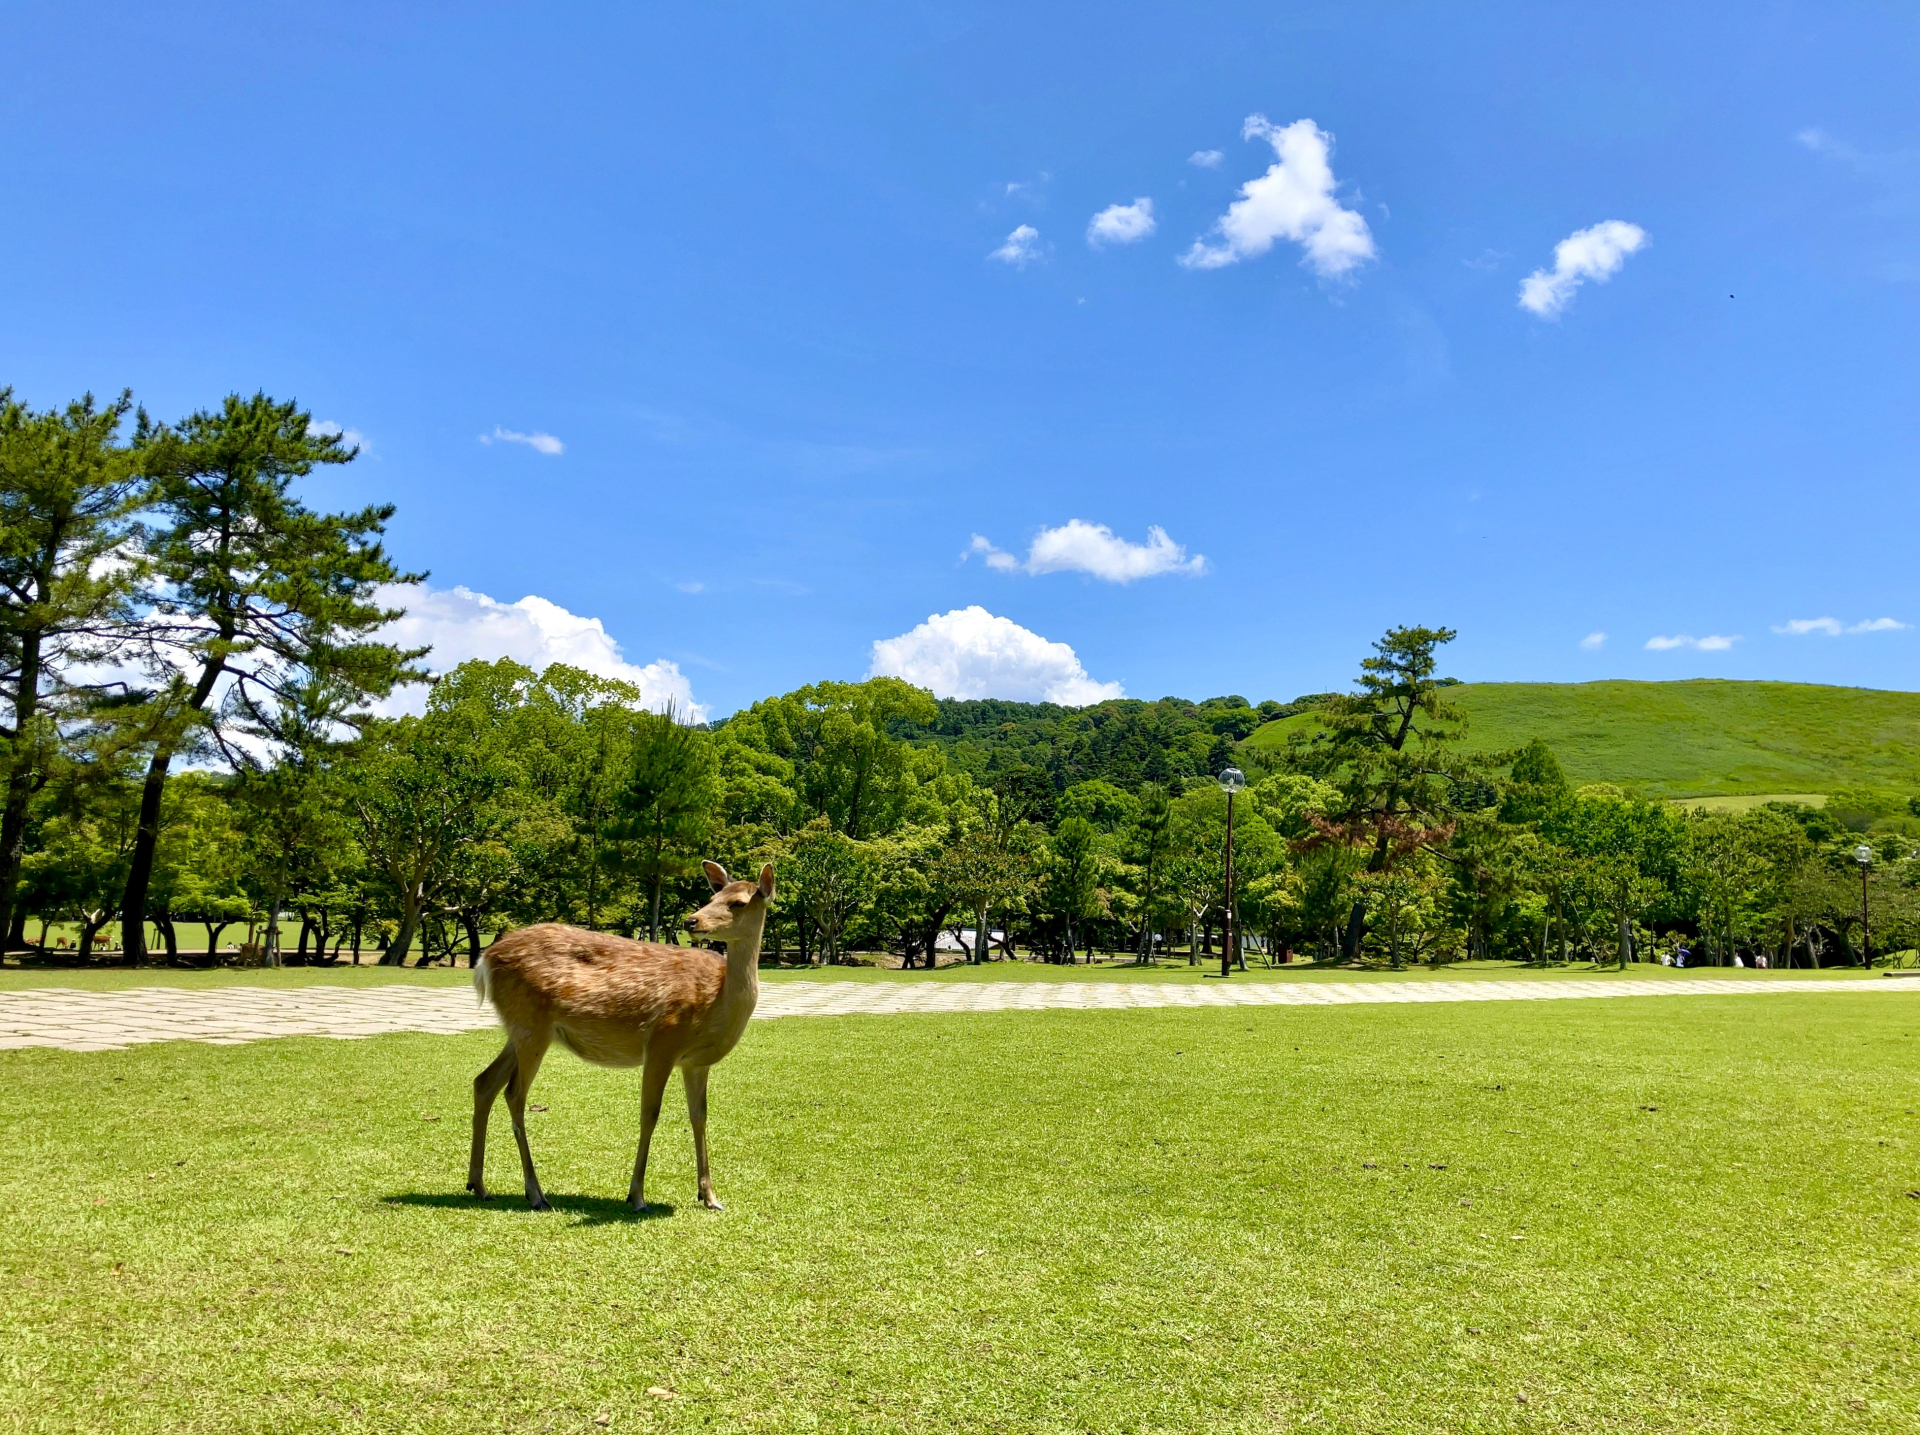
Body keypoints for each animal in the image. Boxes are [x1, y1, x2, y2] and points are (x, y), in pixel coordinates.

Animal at [467, 860, 774, 1213]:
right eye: (714, 896)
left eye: (737, 902)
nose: (691, 920)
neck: (714, 1005)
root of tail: (484, 961)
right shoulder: (662, 1041)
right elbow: (649, 1114)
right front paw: (637, 1196)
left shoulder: (696, 1062)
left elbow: (699, 1117)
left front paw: (710, 1197)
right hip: (531, 1027)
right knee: (514, 1094)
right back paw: (535, 1193)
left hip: (518, 1029)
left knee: (484, 1081)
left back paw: (478, 1185)